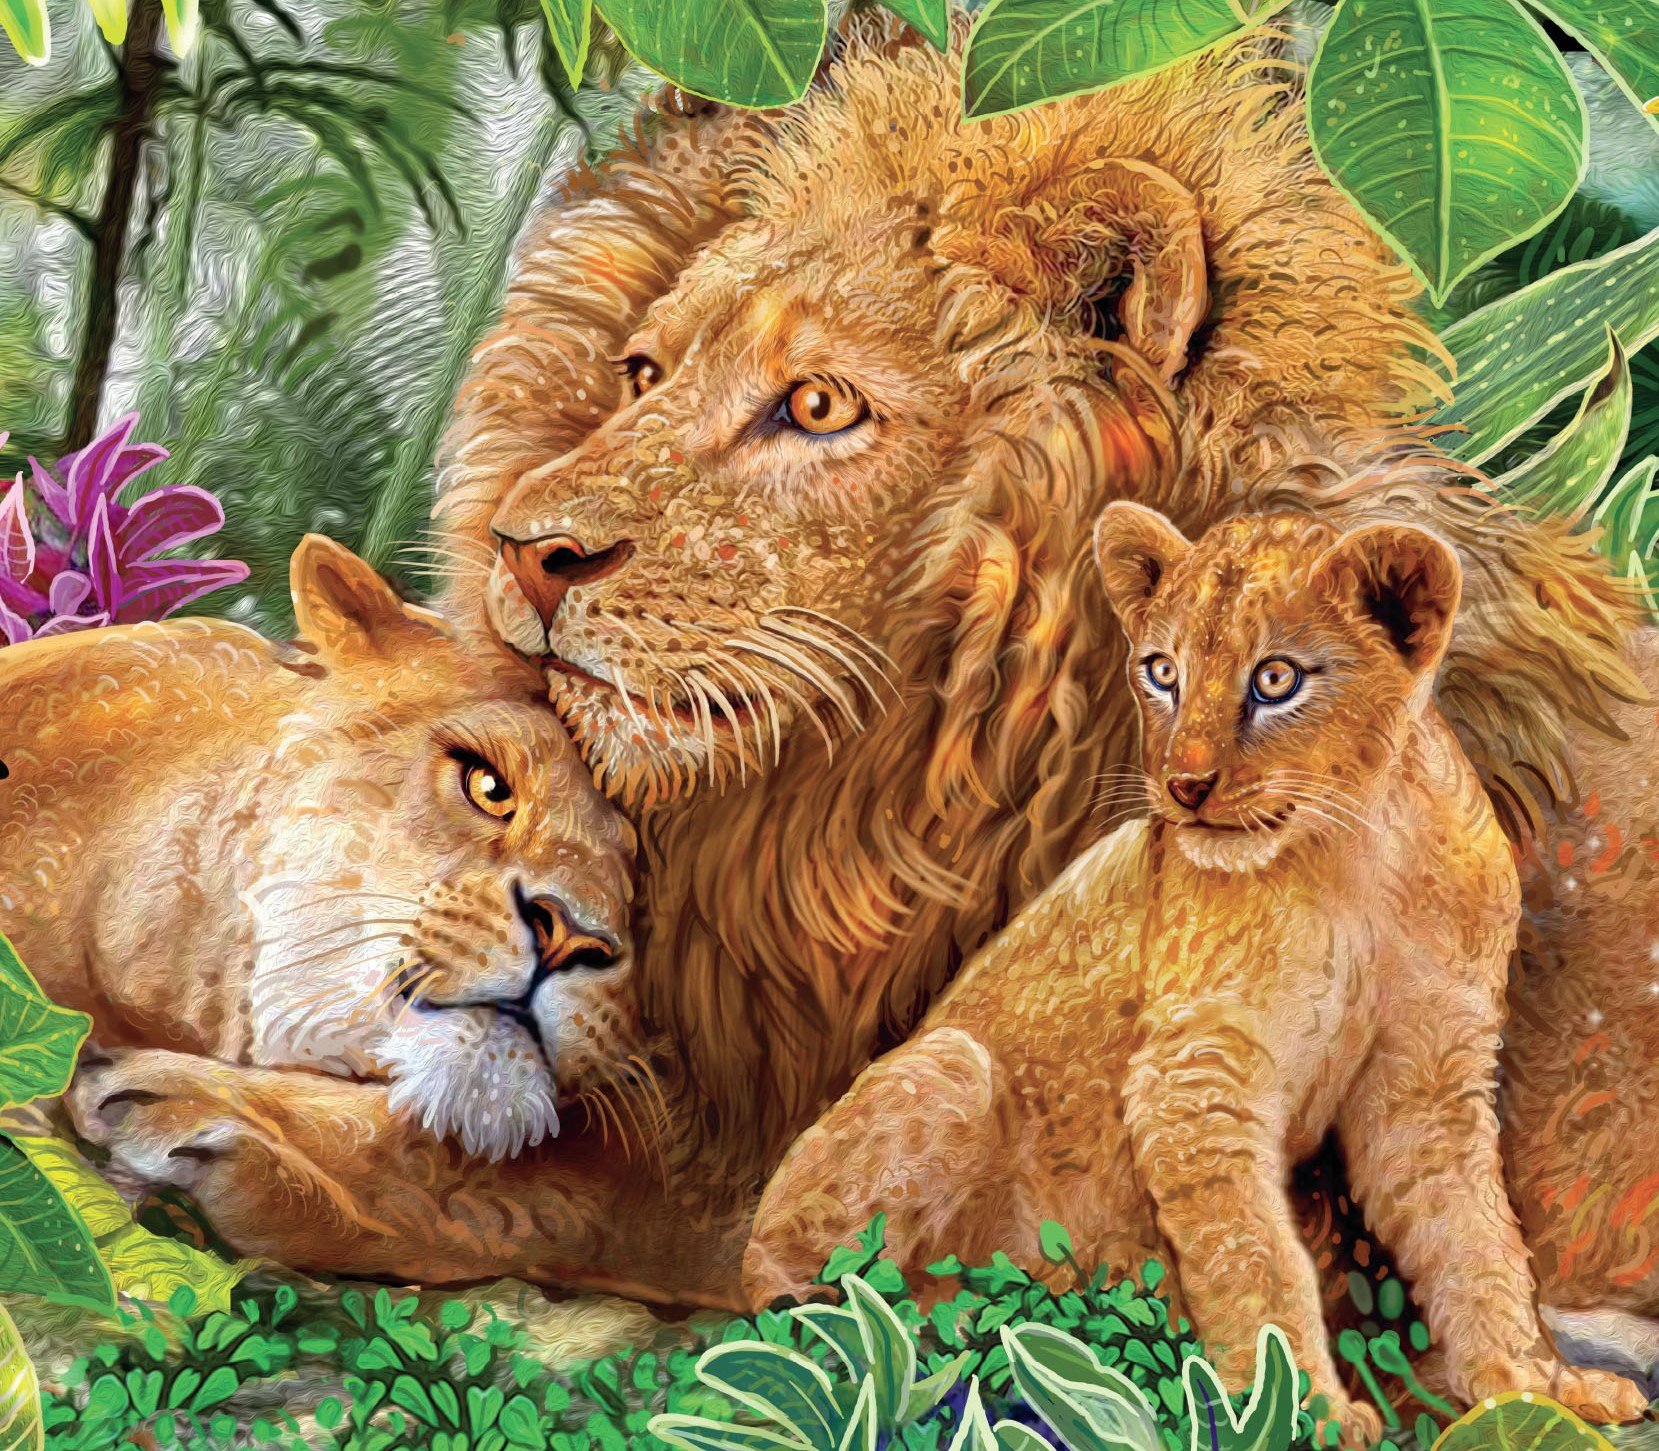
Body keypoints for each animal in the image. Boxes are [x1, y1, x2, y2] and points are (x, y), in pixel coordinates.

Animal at [745, 504, 1647, 1438]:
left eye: (1276, 678)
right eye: (1162, 672)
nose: (1184, 784)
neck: (1358, 854)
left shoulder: (1430, 1077)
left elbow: (1475, 1237)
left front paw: (1532, 1380)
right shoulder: (1195, 1076)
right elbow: (1254, 1254)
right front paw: (1303, 1411)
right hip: (950, 1068)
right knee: (802, 1297)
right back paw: (986, 1319)